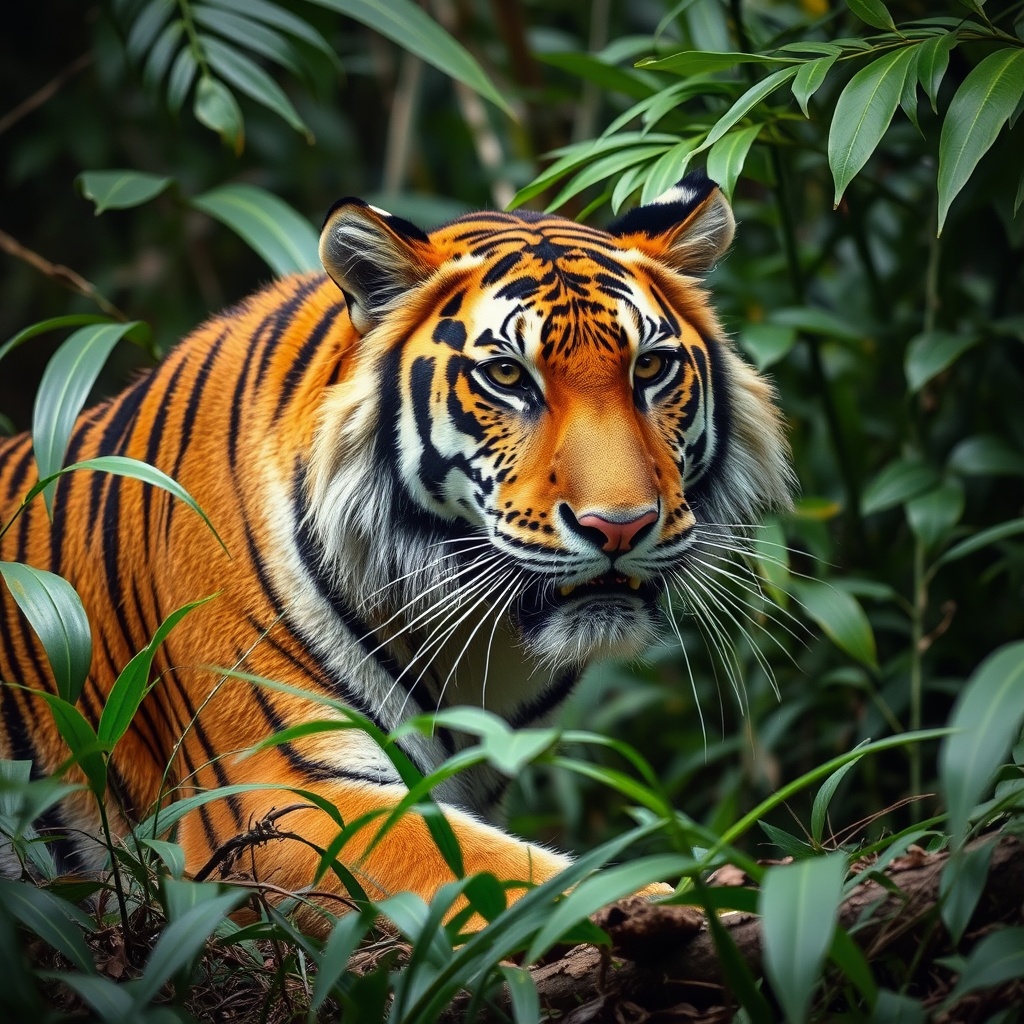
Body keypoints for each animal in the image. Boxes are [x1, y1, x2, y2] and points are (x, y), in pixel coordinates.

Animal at [0, 170, 792, 932]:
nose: (621, 527)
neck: (481, 644)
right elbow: (533, 882)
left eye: (651, 369)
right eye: (508, 377)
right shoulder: (278, 792)